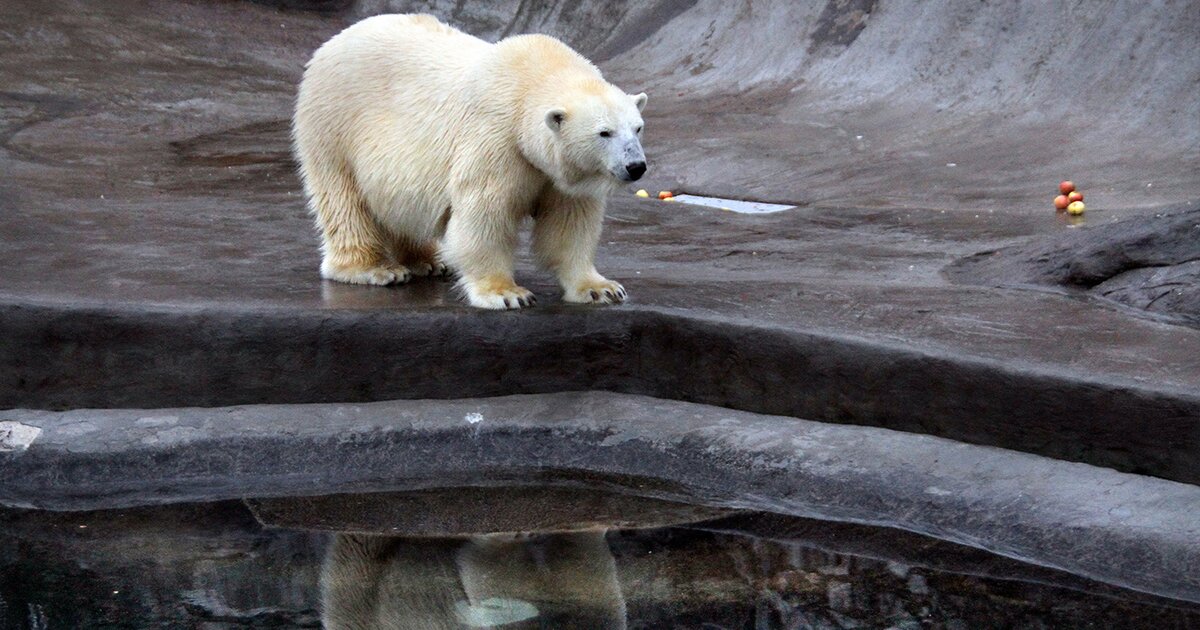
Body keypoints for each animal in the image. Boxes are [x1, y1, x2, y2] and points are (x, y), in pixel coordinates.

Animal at [291, 14, 648, 309]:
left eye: (637, 127)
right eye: (604, 132)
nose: (636, 166)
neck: (532, 78)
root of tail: (333, 42)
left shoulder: (558, 174)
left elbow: (568, 223)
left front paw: (601, 288)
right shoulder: (497, 139)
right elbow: (485, 215)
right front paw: (506, 293)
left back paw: (429, 260)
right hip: (334, 126)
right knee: (345, 202)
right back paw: (374, 269)